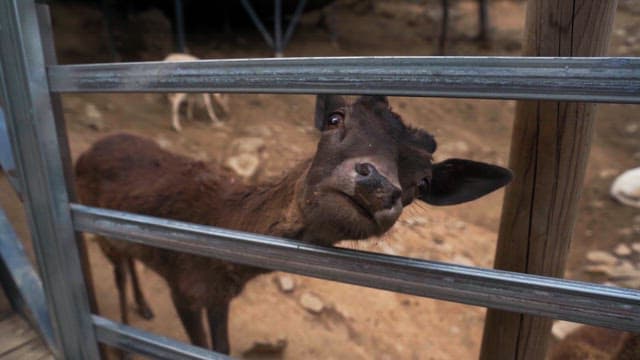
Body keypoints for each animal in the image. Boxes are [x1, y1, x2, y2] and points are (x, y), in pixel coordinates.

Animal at [75, 94, 512, 352]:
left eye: (422, 182)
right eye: (335, 118)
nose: (377, 184)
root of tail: (87, 150)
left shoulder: (218, 297)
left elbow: (221, 347)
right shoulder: (183, 286)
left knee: (128, 262)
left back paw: (142, 307)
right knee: (117, 270)